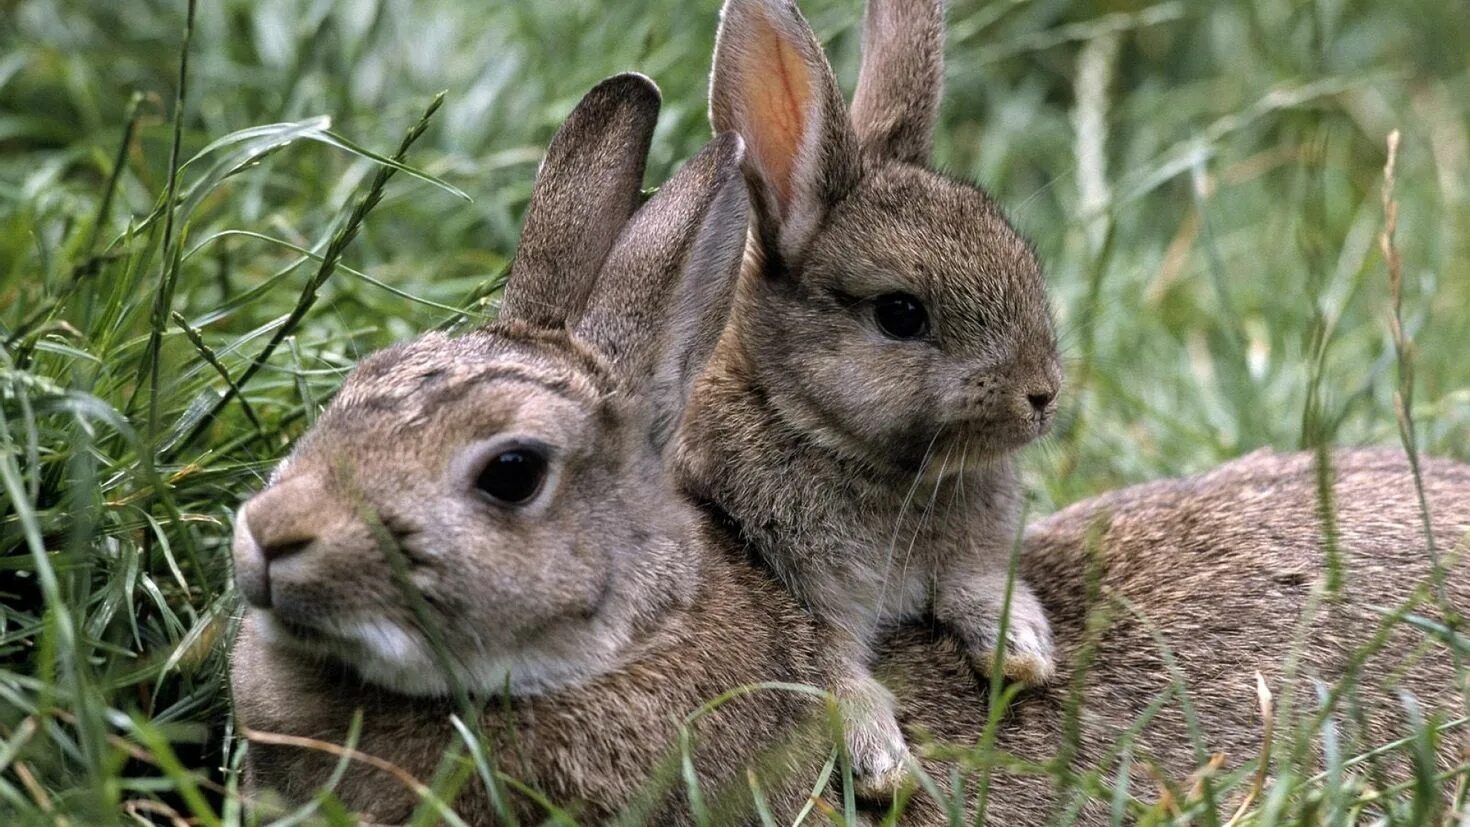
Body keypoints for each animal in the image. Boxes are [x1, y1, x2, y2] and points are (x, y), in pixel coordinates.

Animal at [673, 0, 1064, 793]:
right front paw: (883, 763)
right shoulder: (798, 592)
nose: (1042, 394)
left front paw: (1021, 650)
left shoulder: (969, 557)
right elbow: (828, 670)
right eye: (900, 314)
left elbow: (977, 586)